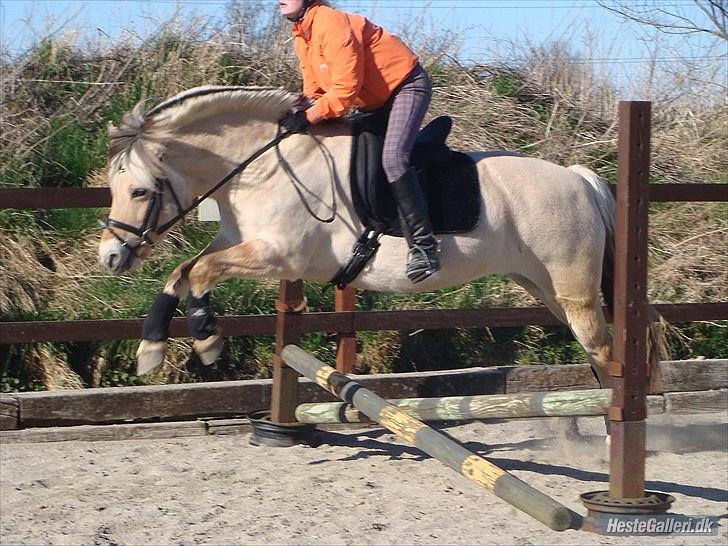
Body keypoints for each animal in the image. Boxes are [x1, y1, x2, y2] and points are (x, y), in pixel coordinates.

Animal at [99, 85, 668, 392]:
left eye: (140, 190)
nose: (111, 256)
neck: (261, 166)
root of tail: (579, 178)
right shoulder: (243, 247)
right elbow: (182, 273)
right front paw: (153, 349)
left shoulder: (277, 257)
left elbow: (197, 273)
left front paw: (207, 337)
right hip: (544, 287)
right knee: (599, 351)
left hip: (573, 290)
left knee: (605, 350)